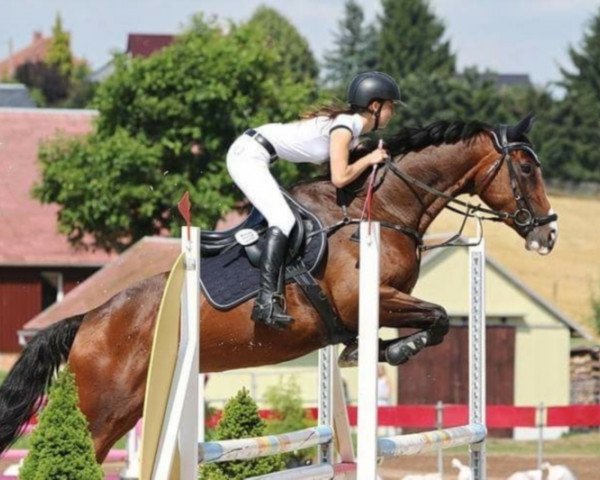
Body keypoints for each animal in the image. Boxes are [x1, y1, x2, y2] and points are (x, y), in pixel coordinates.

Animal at [2, 115, 560, 462]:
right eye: (526, 167)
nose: (547, 234)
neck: (382, 210)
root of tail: (88, 320)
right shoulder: (367, 300)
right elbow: (440, 316)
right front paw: (395, 350)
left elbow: (436, 320)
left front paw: (376, 350)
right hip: (98, 410)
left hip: (125, 410)